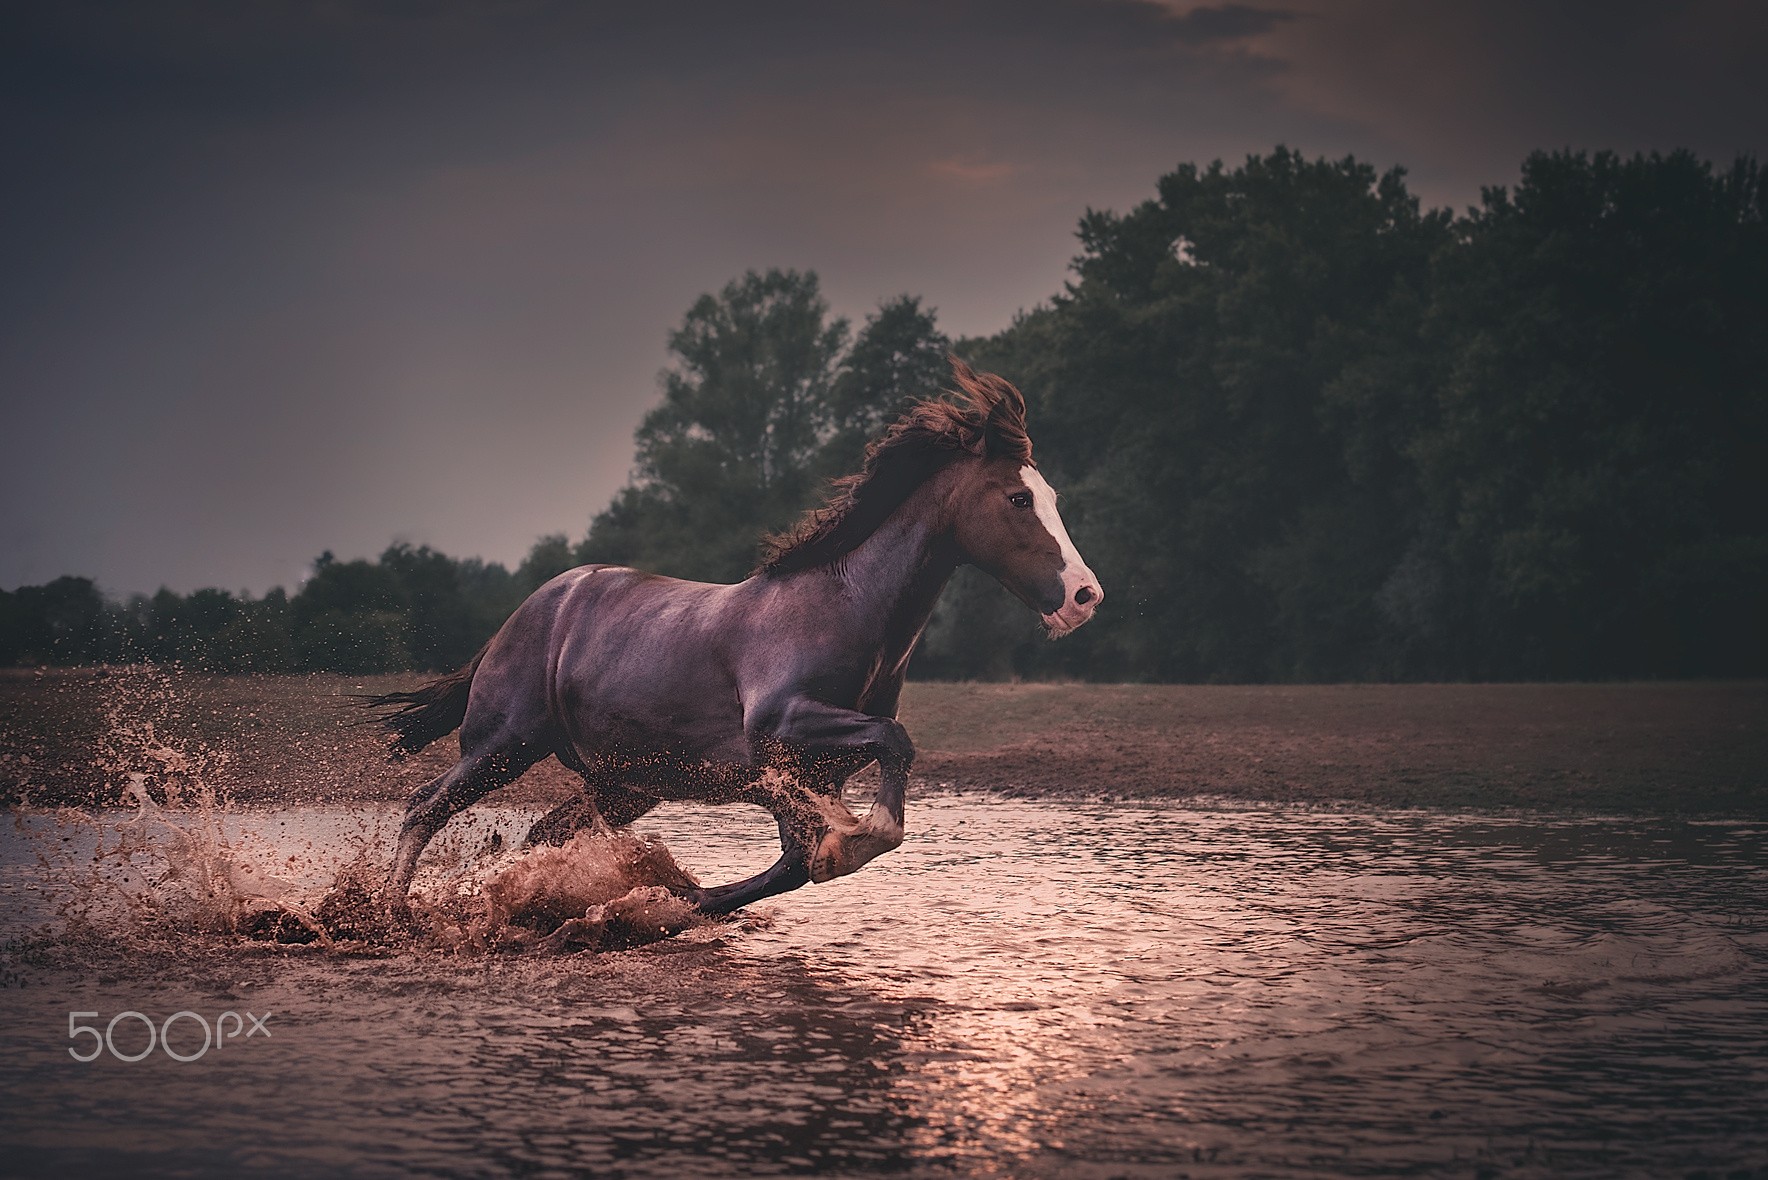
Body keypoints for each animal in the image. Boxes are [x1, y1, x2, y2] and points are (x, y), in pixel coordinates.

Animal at [370, 359, 1102, 917]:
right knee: (423, 807)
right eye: (1017, 499)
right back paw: (391, 914)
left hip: (623, 782)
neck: (844, 607)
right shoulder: (781, 730)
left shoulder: (811, 772)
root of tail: (528, 613)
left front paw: (659, 904)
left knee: (539, 834)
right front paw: (859, 838)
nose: (1084, 596)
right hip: (503, 743)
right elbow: (892, 750)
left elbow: (794, 865)